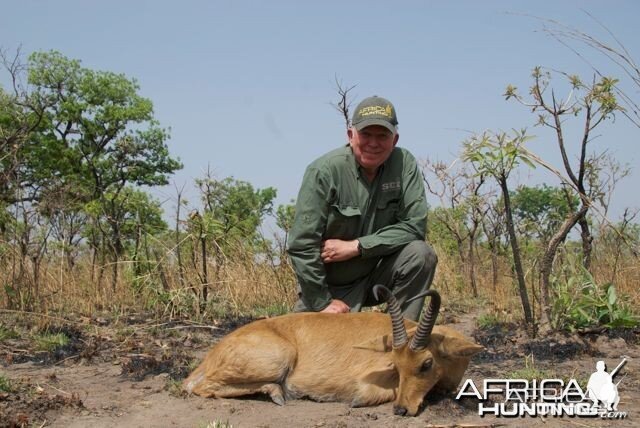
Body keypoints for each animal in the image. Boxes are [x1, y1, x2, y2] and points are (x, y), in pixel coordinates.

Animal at [182, 286, 482, 416]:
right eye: (396, 364)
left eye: (426, 363)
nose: (401, 410)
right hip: (278, 360)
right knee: (203, 387)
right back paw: (277, 393)